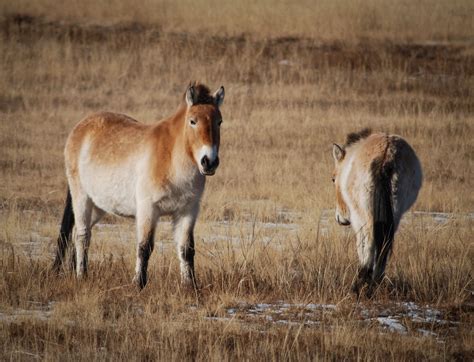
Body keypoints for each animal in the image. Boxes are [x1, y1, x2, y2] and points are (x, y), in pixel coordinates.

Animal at [51, 83, 225, 290]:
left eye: (219, 122)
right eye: (192, 121)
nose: (209, 162)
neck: (171, 157)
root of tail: (80, 128)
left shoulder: (187, 211)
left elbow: (186, 249)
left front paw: (190, 286)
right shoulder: (148, 209)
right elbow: (144, 247)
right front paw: (139, 285)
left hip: (98, 205)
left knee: (77, 233)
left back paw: (74, 272)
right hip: (81, 197)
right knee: (82, 236)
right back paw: (81, 276)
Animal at [332, 129, 424, 296]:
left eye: (333, 179)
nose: (340, 218)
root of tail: (386, 156)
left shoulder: (358, 219)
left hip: (365, 216)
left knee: (368, 244)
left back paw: (359, 286)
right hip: (395, 213)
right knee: (384, 247)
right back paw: (375, 283)